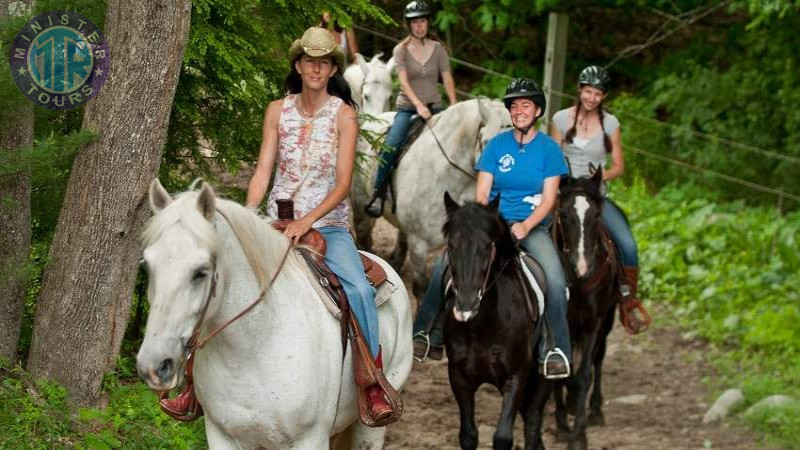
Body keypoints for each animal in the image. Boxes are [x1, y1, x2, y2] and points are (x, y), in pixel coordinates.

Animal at [136, 181, 412, 448]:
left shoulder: (310, 438)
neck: (251, 350)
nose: (154, 365)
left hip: (369, 426)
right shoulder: (221, 435)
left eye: (201, 272)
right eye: (148, 266)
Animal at [440, 192, 552, 450]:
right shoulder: (459, 377)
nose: (466, 305)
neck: (483, 325)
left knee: (533, 423)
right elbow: (468, 435)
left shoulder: (516, 377)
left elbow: (502, 437)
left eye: (486, 247)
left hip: (542, 376)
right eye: (451, 246)